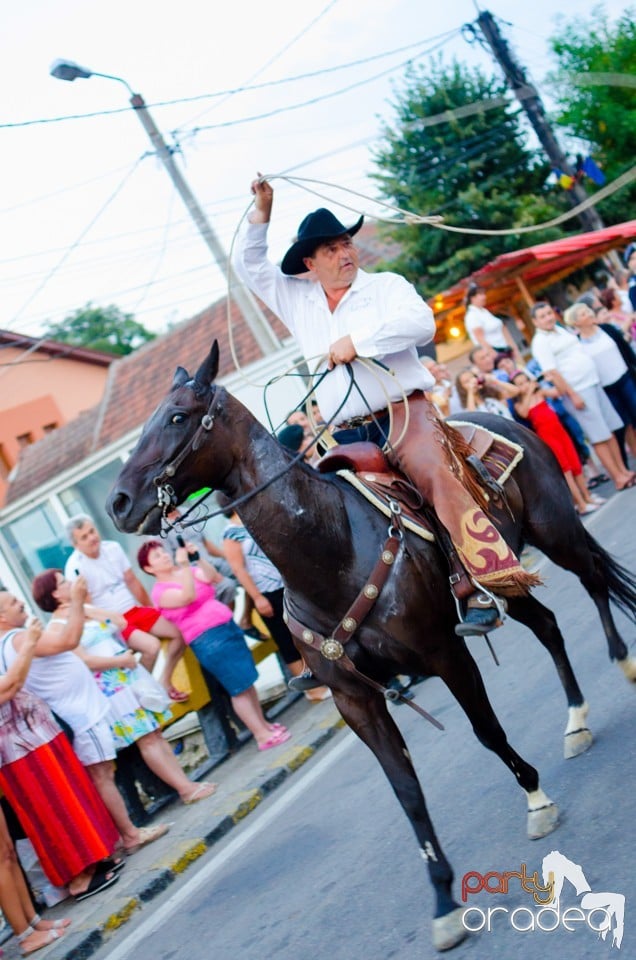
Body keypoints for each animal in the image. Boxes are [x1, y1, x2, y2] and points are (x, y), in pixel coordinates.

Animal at [108, 342, 636, 948]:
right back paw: (576, 719)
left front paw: (536, 799)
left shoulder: (446, 655)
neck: (330, 548)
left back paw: (623, 663)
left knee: (594, 580)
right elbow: (405, 790)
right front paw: (442, 900)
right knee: (548, 625)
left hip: (553, 533)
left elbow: (488, 732)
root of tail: (502, 419)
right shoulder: (354, 699)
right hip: (508, 578)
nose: (119, 502)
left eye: (177, 417)